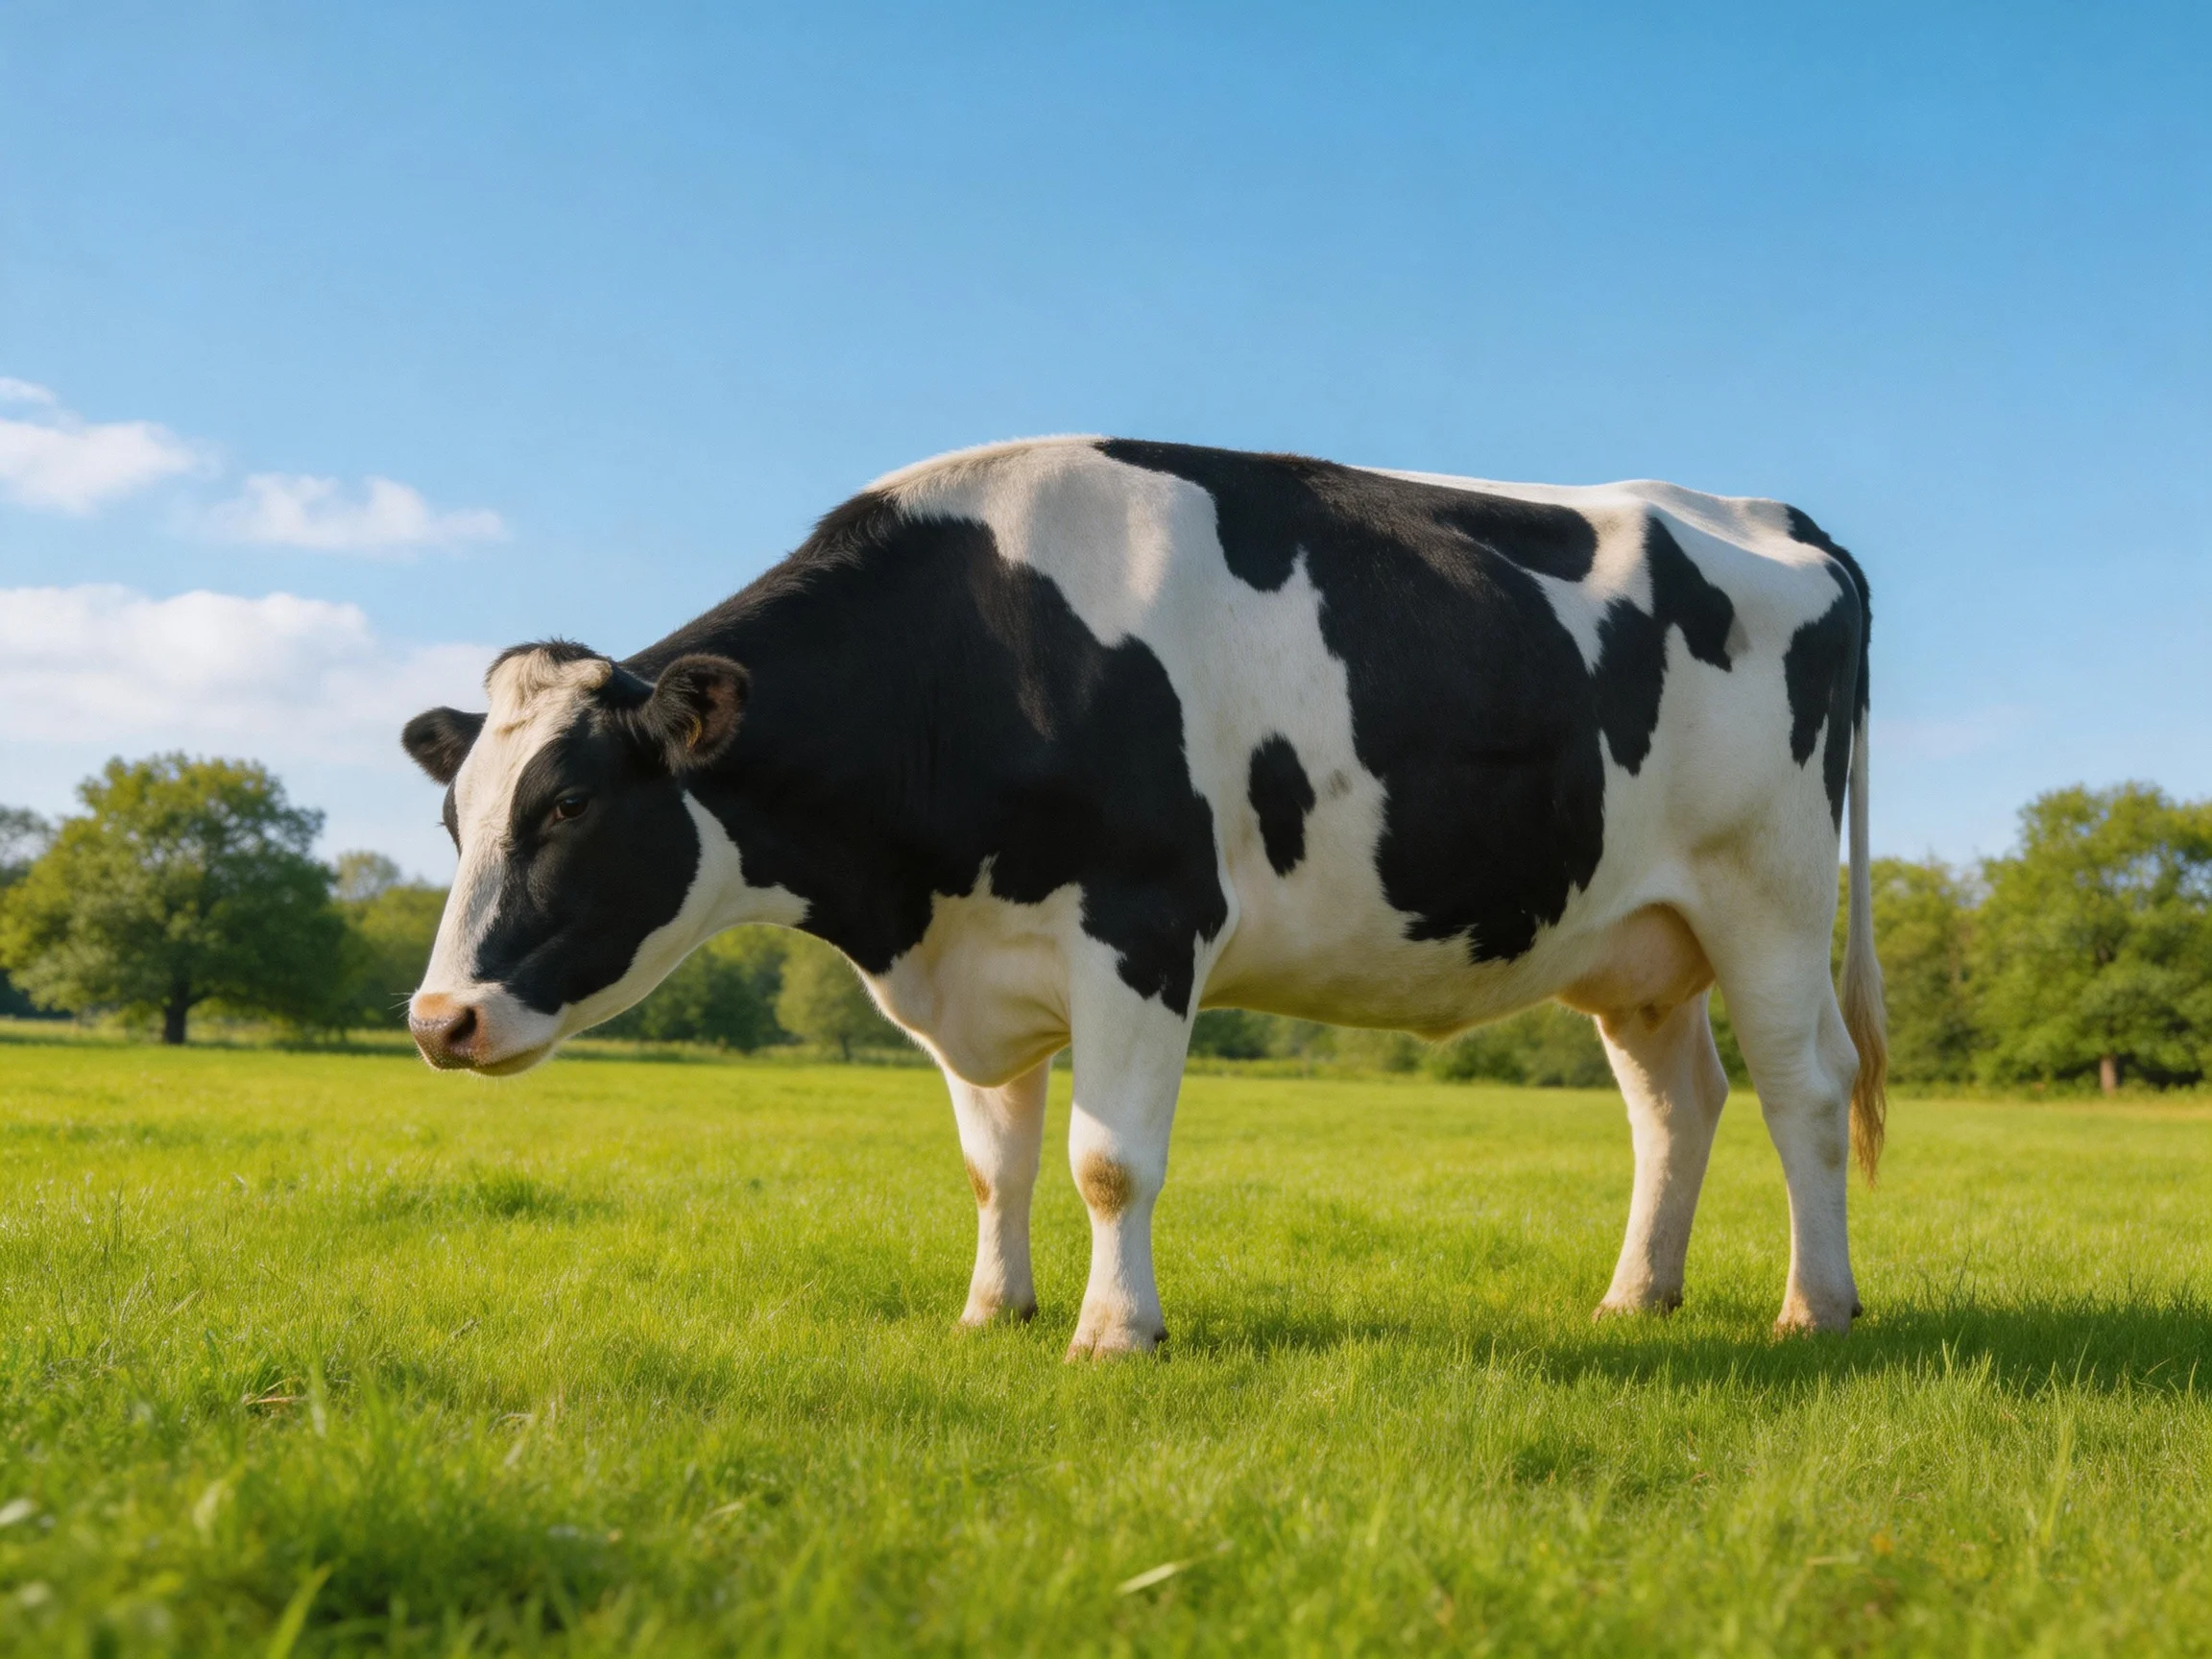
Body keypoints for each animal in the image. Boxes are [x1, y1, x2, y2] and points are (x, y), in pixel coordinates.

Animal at [401, 438, 1886, 1355]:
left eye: (569, 805)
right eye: (453, 814)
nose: (435, 1021)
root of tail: (1772, 517)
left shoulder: (1144, 923)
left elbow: (1108, 1160)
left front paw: (1115, 1332)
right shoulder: (980, 957)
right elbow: (993, 1164)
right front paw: (991, 1312)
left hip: (1768, 890)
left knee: (1806, 1090)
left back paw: (1816, 1307)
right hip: (1635, 939)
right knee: (1677, 1105)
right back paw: (1637, 1298)